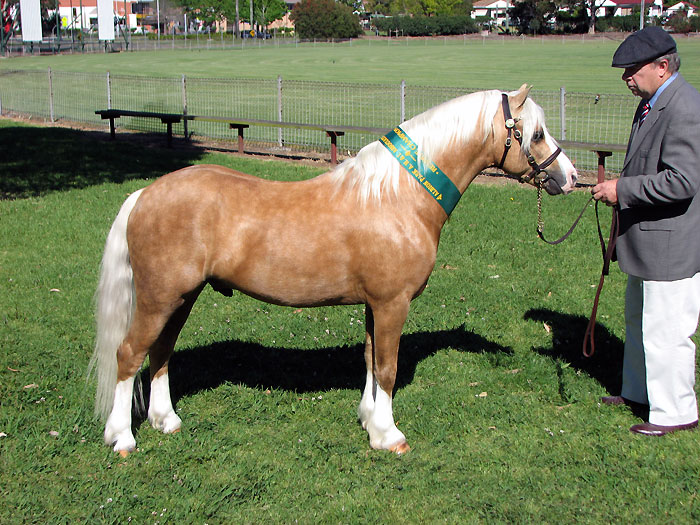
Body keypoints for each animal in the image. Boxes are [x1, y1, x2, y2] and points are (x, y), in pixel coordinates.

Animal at [90, 84, 577, 456]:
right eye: (536, 133)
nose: (570, 177)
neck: (397, 197)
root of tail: (144, 194)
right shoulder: (392, 304)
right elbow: (388, 368)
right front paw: (389, 436)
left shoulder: (374, 305)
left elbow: (370, 360)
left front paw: (370, 420)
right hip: (159, 299)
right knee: (129, 355)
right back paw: (122, 438)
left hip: (180, 298)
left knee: (160, 353)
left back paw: (165, 420)